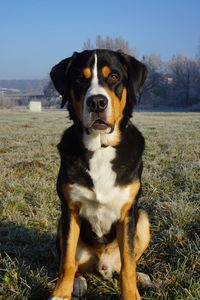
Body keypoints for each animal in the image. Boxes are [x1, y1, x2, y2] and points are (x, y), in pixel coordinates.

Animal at [49, 49, 150, 300]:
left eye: (114, 76)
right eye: (79, 79)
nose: (96, 102)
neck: (100, 147)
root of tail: (103, 263)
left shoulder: (128, 213)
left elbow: (128, 266)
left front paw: (132, 293)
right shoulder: (69, 211)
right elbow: (66, 262)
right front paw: (60, 293)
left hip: (143, 218)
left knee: (126, 263)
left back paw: (141, 277)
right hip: (61, 226)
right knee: (75, 264)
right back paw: (77, 282)